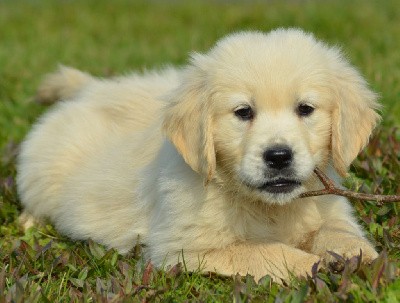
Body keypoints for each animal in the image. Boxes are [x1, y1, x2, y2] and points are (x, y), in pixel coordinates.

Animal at [19, 28, 382, 282]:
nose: (279, 156)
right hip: (45, 170)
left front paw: (359, 256)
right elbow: (260, 251)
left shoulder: (329, 205)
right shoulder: (181, 249)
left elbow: (338, 230)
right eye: (243, 112)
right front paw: (310, 263)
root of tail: (92, 89)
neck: (269, 208)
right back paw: (28, 221)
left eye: (305, 109)